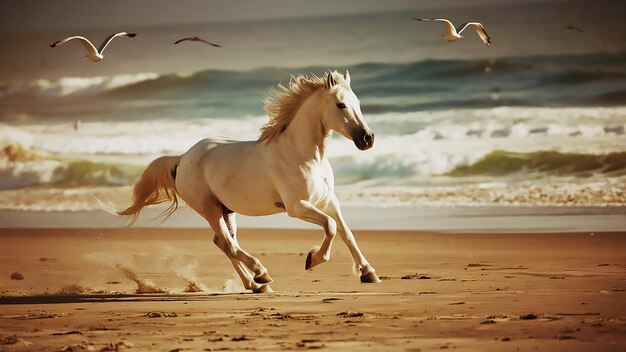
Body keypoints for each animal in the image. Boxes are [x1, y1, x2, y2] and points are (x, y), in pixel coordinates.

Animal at [119, 70, 378, 292]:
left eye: (358, 103)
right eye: (341, 104)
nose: (368, 139)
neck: (303, 155)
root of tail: (182, 158)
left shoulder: (328, 201)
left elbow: (345, 232)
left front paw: (368, 272)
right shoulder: (297, 207)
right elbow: (331, 227)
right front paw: (313, 259)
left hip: (226, 210)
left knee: (223, 243)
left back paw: (255, 284)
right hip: (209, 209)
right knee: (228, 244)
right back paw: (261, 274)